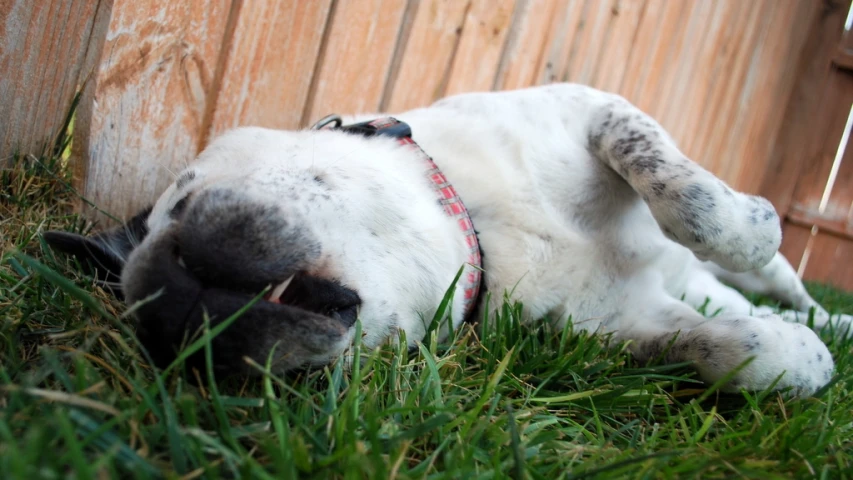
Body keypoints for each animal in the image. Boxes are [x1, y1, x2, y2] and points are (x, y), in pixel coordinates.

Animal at [48, 84, 852, 396]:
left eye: (184, 197)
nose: (169, 301)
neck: (485, 232)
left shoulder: (594, 112)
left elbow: (692, 200)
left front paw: (755, 224)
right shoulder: (612, 329)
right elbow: (729, 351)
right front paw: (799, 359)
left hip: (757, 275)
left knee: (777, 282)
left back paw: (826, 312)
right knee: (742, 310)